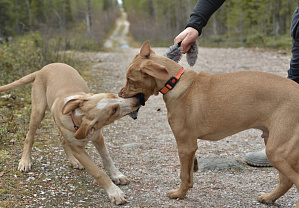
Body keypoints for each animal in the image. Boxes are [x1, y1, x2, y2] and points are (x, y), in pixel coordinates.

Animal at [0, 63, 141, 205]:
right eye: (114, 110)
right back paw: (25, 161)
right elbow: (98, 172)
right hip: (38, 112)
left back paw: (73, 161)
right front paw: (114, 192)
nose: (138, 100)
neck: (77, 117)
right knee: (30, 137)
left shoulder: (98, 138)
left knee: (62, 139)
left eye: (113, 96)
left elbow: (107, 159)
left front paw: (117, 175)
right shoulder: (79, 151)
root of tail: (44, 68)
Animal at [119, 40, 299, 206]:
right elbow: (190, 175)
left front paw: (179, 194)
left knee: (294, 180)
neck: (175, 82)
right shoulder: (191, 147)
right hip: (273, 144)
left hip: (277, 151)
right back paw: (269, 197)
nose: (120, 94)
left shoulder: (185, 145)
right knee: (286, 181)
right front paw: (185, 190)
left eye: (131, 80)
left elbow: (183, 175)